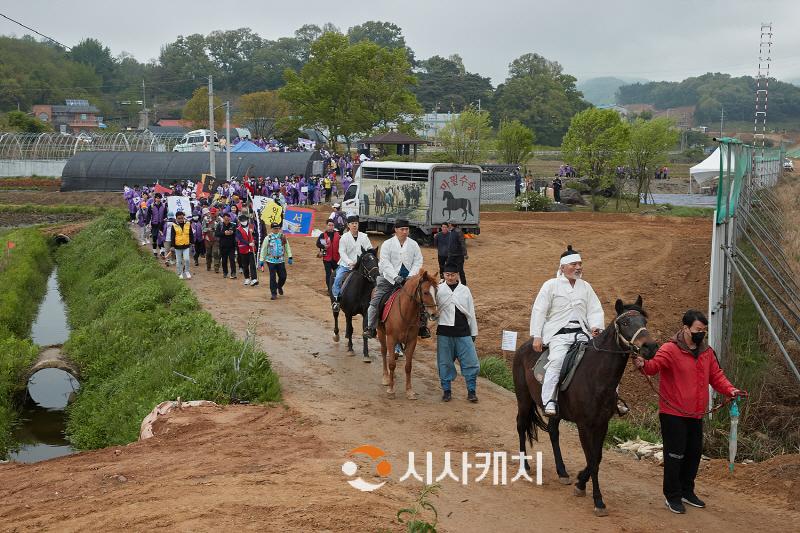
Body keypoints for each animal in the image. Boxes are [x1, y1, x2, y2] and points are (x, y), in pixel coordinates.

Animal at [516, 296, 660, 516]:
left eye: (644, 321)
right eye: (626, 322)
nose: (650, 347)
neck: (597, 376)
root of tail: (524, 347)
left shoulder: (602, 424)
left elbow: (597, 457)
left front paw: (580, 482)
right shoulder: (584, 425)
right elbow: (592, 460)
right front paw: (598, 500)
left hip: (556, 412)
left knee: (553, 432)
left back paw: (562, 471)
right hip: (524, 400)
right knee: (522, 426)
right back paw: (524, 467)